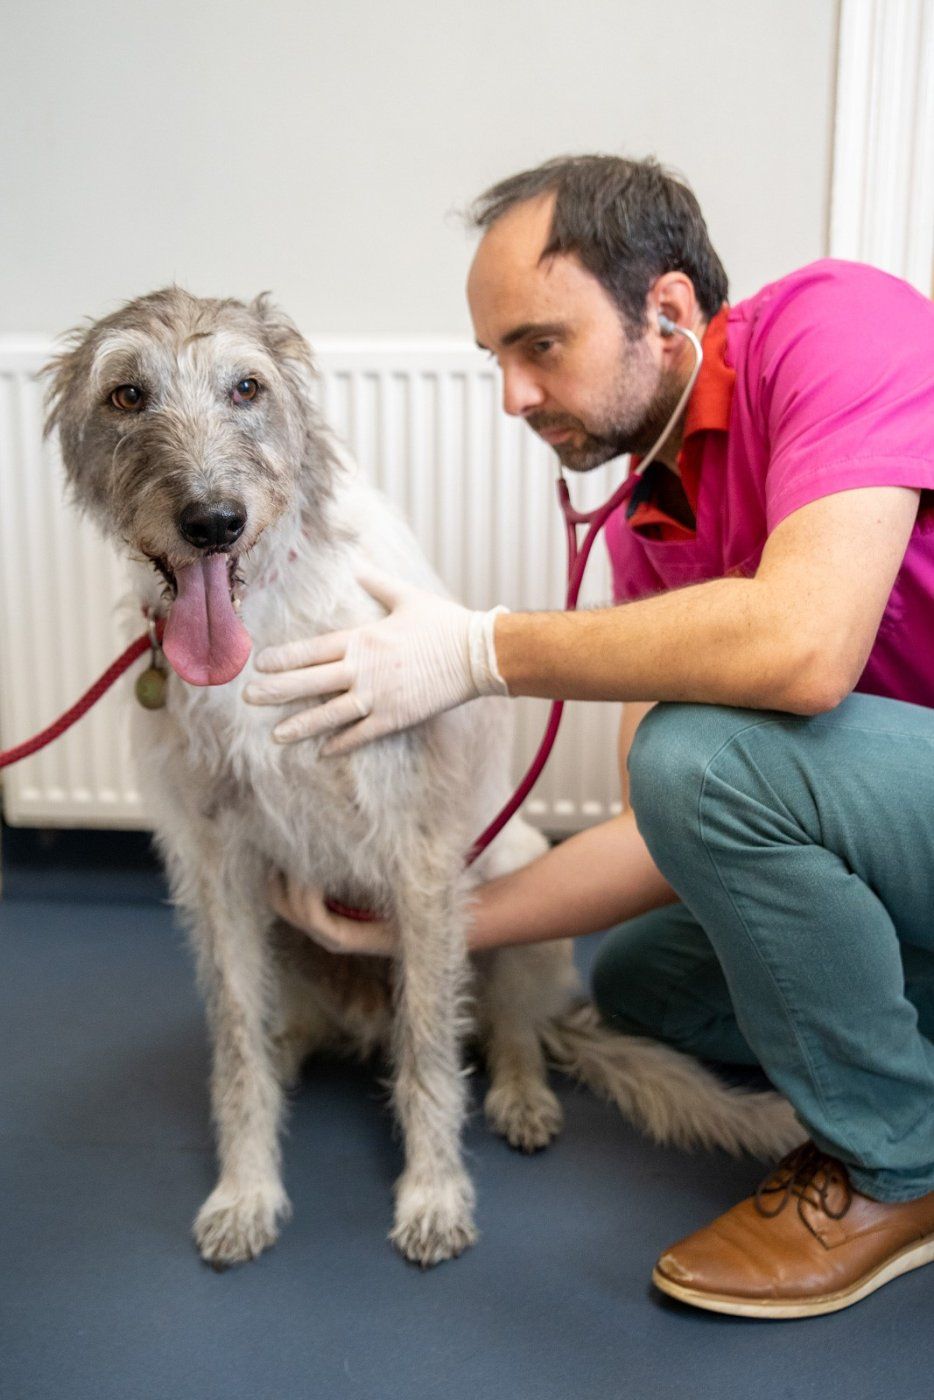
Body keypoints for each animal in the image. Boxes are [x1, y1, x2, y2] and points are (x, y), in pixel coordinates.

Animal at [43, 289, 800, 1276]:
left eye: (246, 386)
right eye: (127, 394)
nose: (213, 520)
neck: (263, 626)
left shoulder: (421, 854)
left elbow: (431, 1056)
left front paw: (433, 1193)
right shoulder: (214, 869)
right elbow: (237, 1050)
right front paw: (246, 1188)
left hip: (516, 872)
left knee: (504, 1030)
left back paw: (520, 1094)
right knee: (280, 1031)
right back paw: (295, 1049)